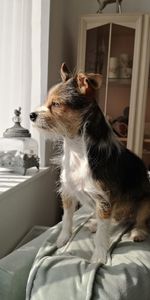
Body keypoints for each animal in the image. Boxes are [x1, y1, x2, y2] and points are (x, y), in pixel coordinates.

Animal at [29, 62, 150, 262]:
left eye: (56, 104)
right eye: (47, 102)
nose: (31, 115)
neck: (77, 149)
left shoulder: (104, 200)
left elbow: (102, 234)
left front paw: (99, 257)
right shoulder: (68, 192)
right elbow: (67, 219)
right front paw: (63, 239)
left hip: (146, 201)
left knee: (139, 220)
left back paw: (137, 233)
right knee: (116, 219)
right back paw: (96, 223)